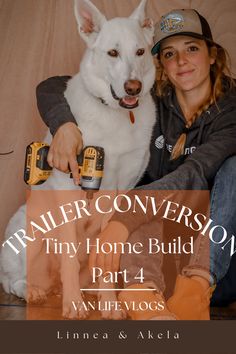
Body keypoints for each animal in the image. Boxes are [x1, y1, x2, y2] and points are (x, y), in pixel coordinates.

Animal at [0, 0, 157, 320]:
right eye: (112, 53)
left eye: (140, 52)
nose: (133, 87)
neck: (115, 114)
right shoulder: (68, 192)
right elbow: (69, 259)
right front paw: (73, 305)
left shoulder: (121, 192)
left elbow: (107, 254)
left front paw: (109, 304)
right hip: (30, 233)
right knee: (12, 280)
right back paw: (34, 291)